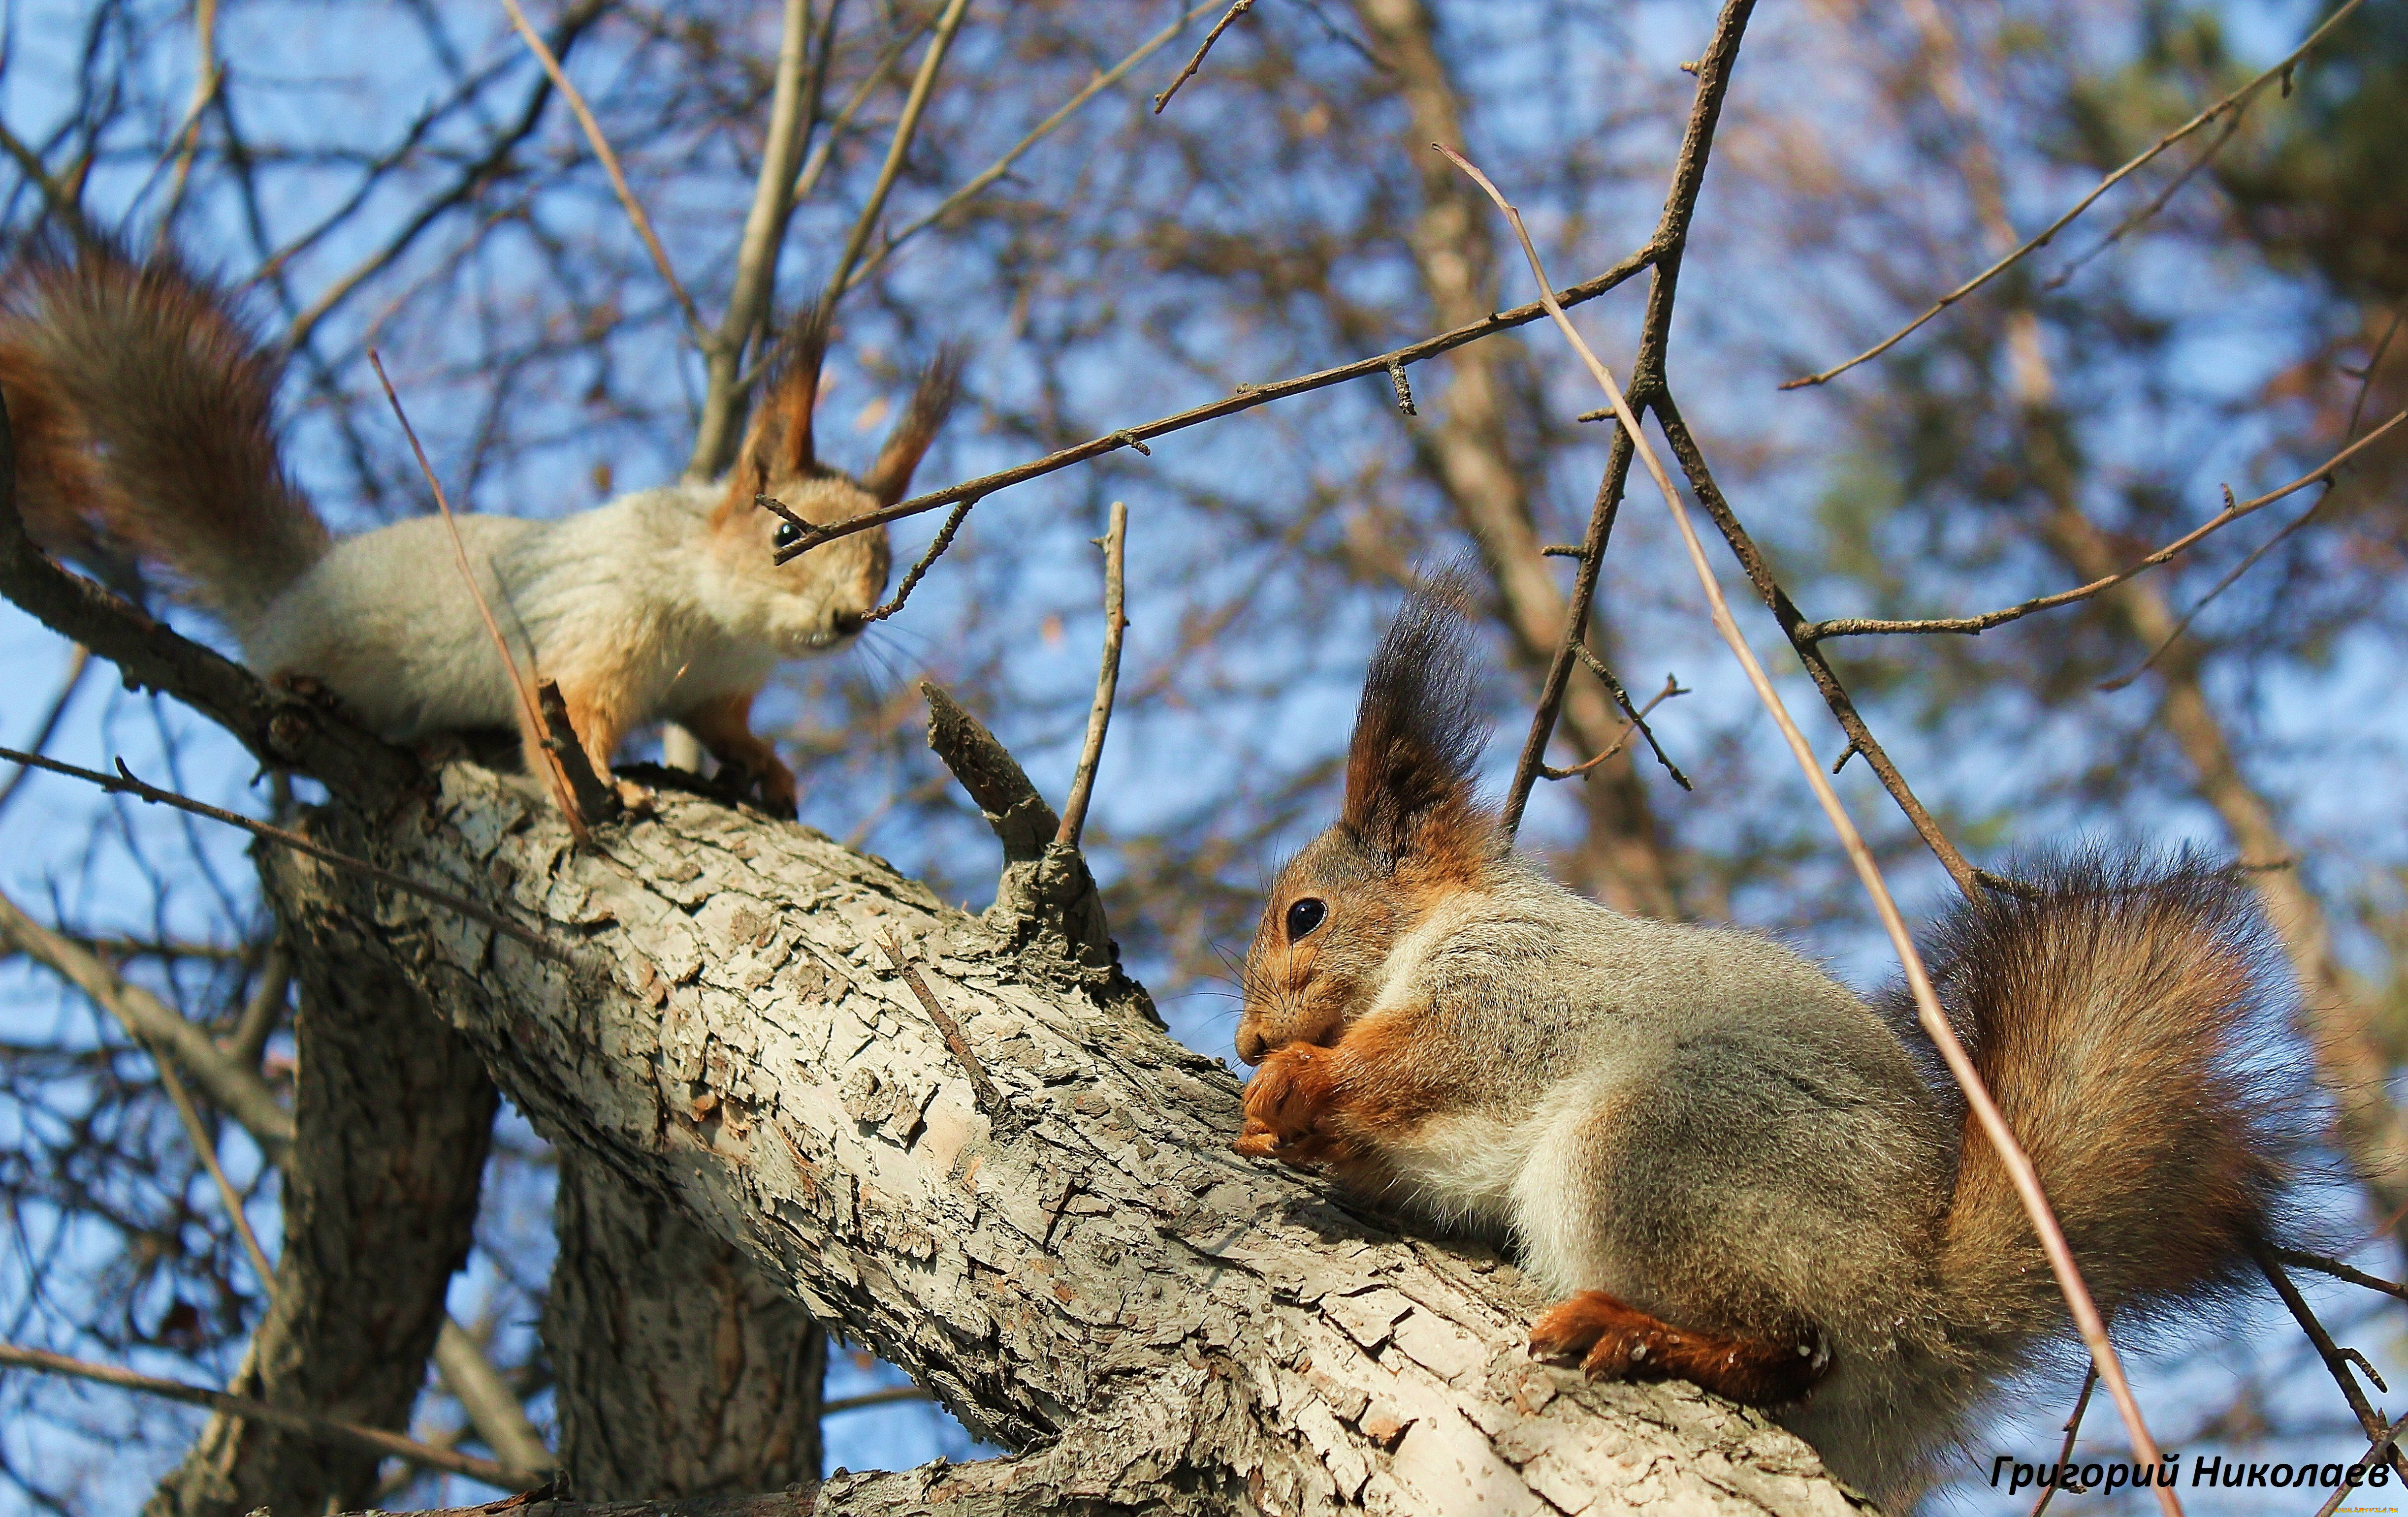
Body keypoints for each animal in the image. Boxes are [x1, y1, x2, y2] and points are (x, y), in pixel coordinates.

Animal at [0, 247, 958, 819]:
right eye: (784, 541)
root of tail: (288, 591)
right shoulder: (597, 625)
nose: (849, 622)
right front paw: (600, 785)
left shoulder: (718, 690)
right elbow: (569, 709)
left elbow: (725, 728)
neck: (719, 623)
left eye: (885, 565)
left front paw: (767, 763)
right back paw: (306, 689)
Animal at [1233, 573, 2302, 1512]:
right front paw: (1290, 1131)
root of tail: (1914, 1300)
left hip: (1658, 1153)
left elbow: (1425, 1063)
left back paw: (1636, 1332)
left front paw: (1298, 1078)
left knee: (1790, 1346)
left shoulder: (1509, 991)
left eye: (1304, 914)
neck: (1443, 924)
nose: (1245, 1041)